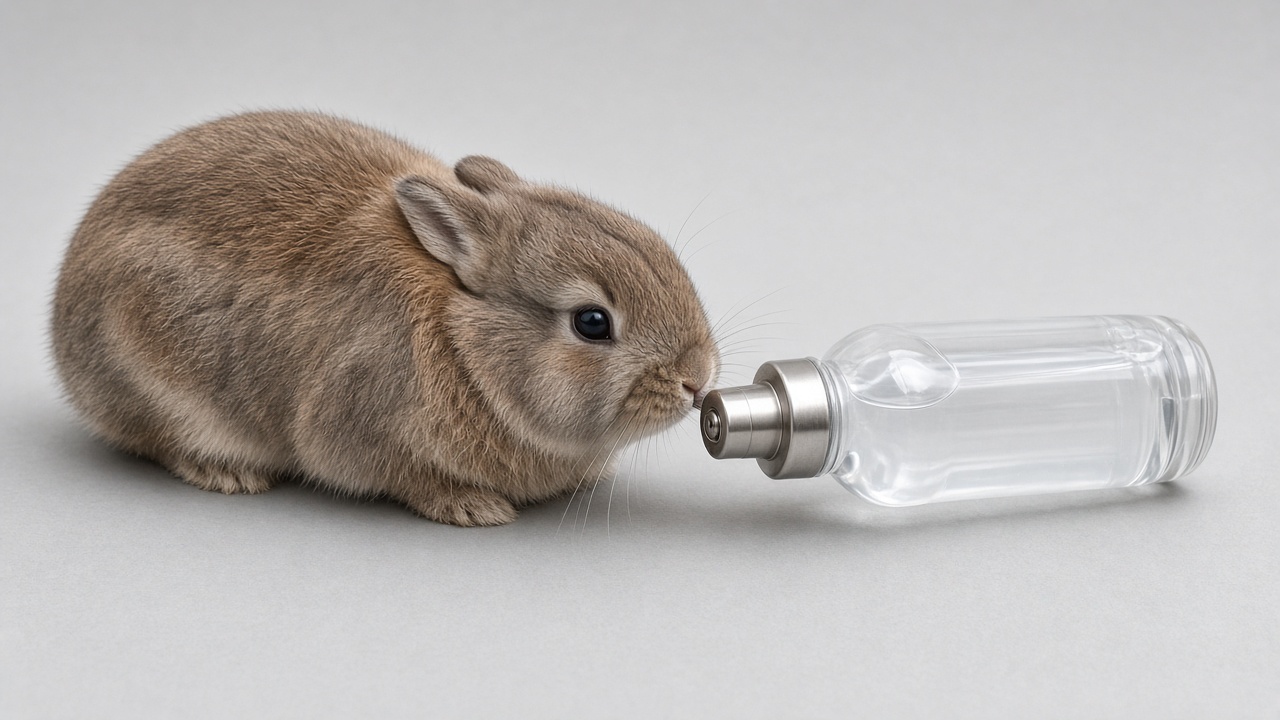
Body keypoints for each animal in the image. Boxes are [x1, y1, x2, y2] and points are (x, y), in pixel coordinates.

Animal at [50, 110, 720, 526]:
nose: (698, 379)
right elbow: (405, 477)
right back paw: (226, 474)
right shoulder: (359, 428)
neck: (464, 343)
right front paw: (473, 509)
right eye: (592, 322)